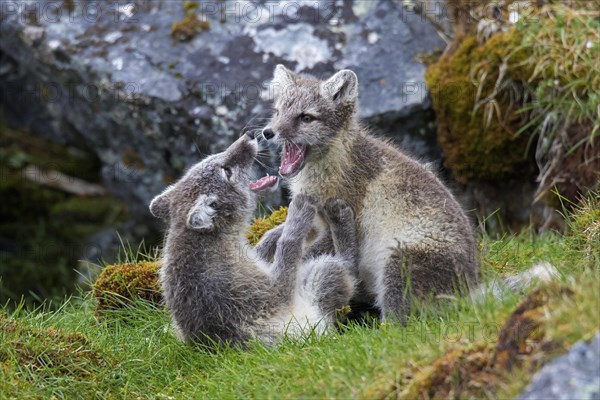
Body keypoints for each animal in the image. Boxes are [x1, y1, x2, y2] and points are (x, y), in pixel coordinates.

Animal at [149, 135, 356, 346]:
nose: (248, 136)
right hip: (321, 276)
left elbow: (264, 247)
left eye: (212, 157)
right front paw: (297, 214)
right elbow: (288, 244)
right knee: (347, 267)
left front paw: (273, 235)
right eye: (227, 171)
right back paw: (339, 219)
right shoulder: (271, 293)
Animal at [260, 65, 480, 322]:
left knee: (399, 323)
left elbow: (305, 253)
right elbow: (276, 233)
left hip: (397, 263)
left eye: (306, 117)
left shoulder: (337, 220)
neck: (337, 161)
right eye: (277, 112)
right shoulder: (313, 218)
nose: (267, 132)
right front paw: (261, 250)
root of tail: (472, 286)